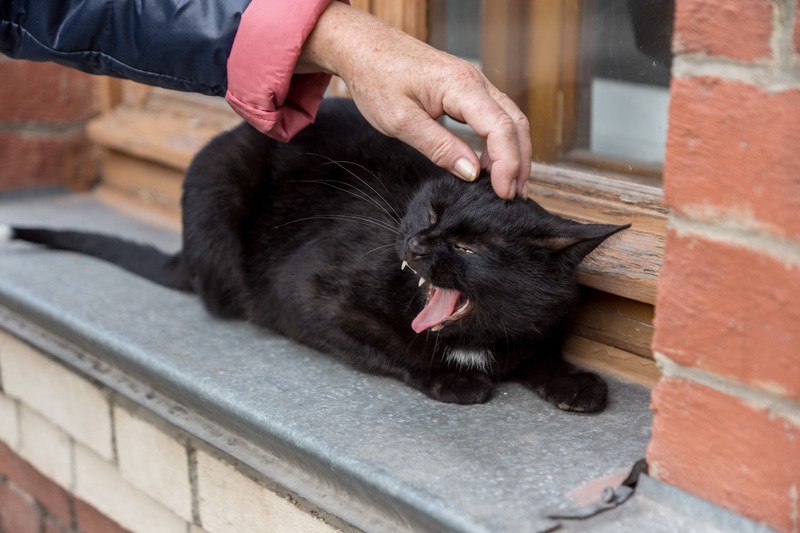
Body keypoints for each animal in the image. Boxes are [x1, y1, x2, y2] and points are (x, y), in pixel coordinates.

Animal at [3, 98, 628, 412]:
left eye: (471, 244)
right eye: (430, 213)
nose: (415, 243)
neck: (470, 339)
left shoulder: (540, 321)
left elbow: (535, 348)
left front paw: (575, 382)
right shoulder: (309, 296)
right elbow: (387, 350)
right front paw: (449, 380)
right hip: (220, 178)